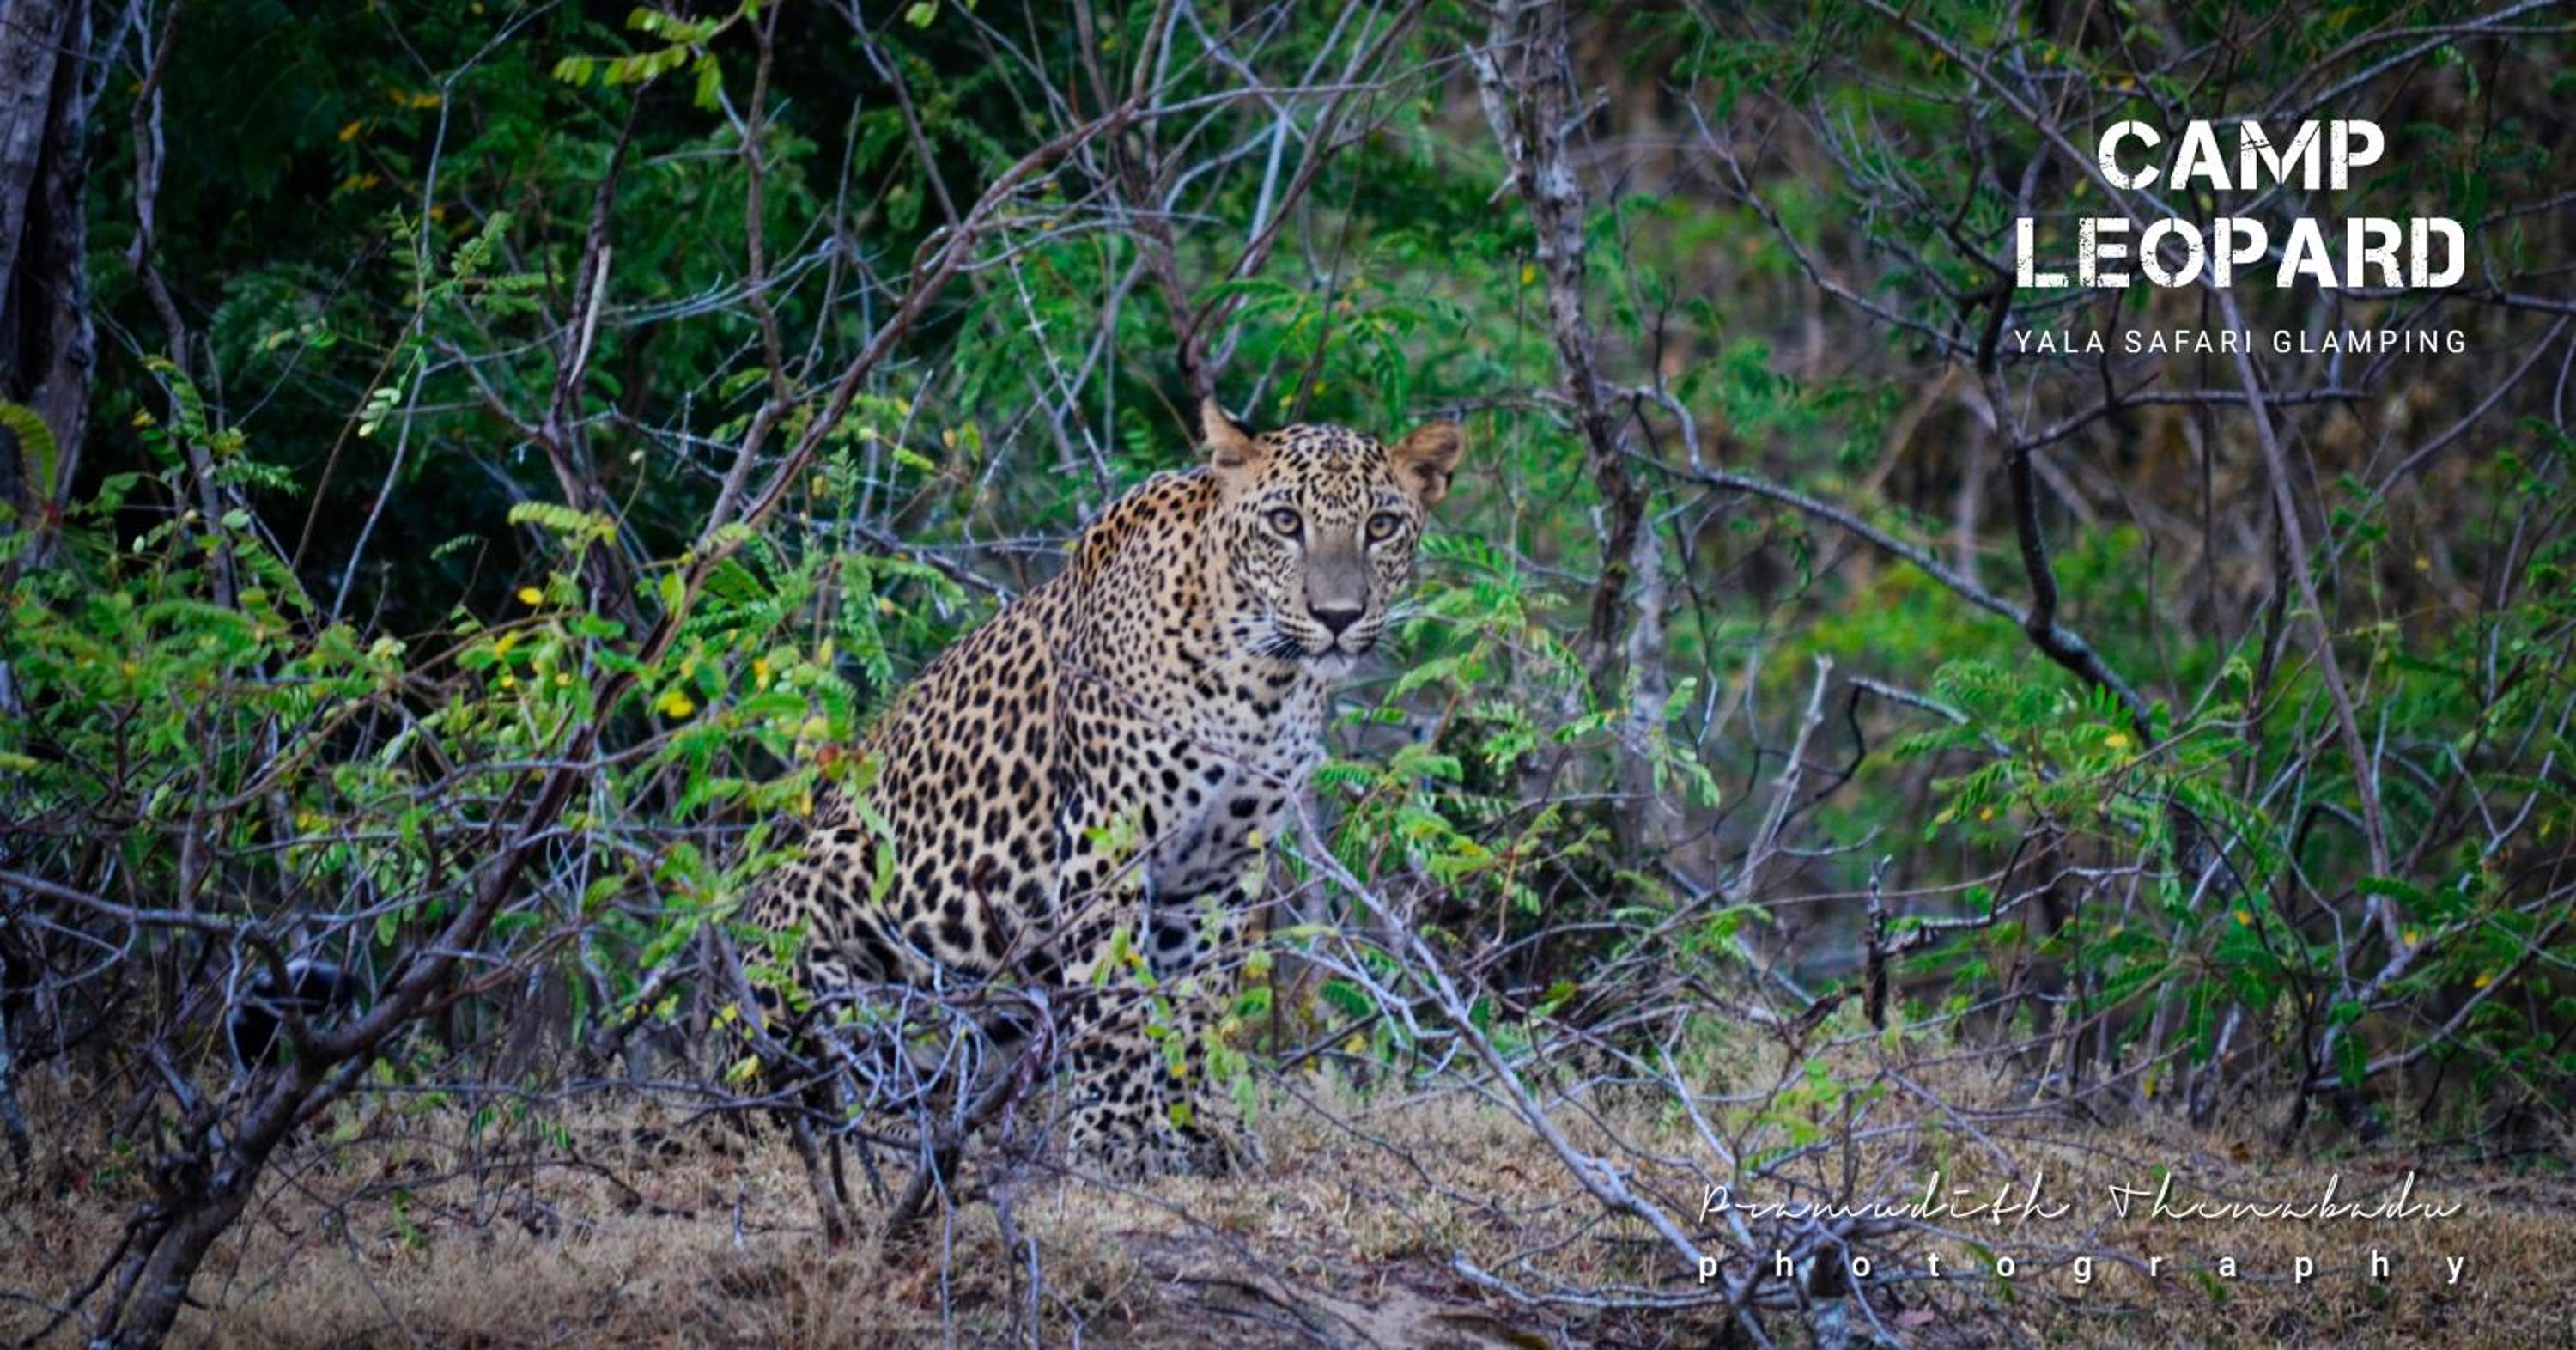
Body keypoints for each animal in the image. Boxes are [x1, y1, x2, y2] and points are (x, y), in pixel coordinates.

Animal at [740, 397, 1465, 1198]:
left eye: (1382, 526)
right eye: (1284, 521)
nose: (1337, 616)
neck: (1264, 683)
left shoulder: (1220, 866)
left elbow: (1192, 1003)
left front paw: (1192, 1129)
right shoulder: (1107, 838)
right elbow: (1116, 1002)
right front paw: (1119, 1140)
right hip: (821, 892)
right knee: (827, 1079)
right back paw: (905, 1131)